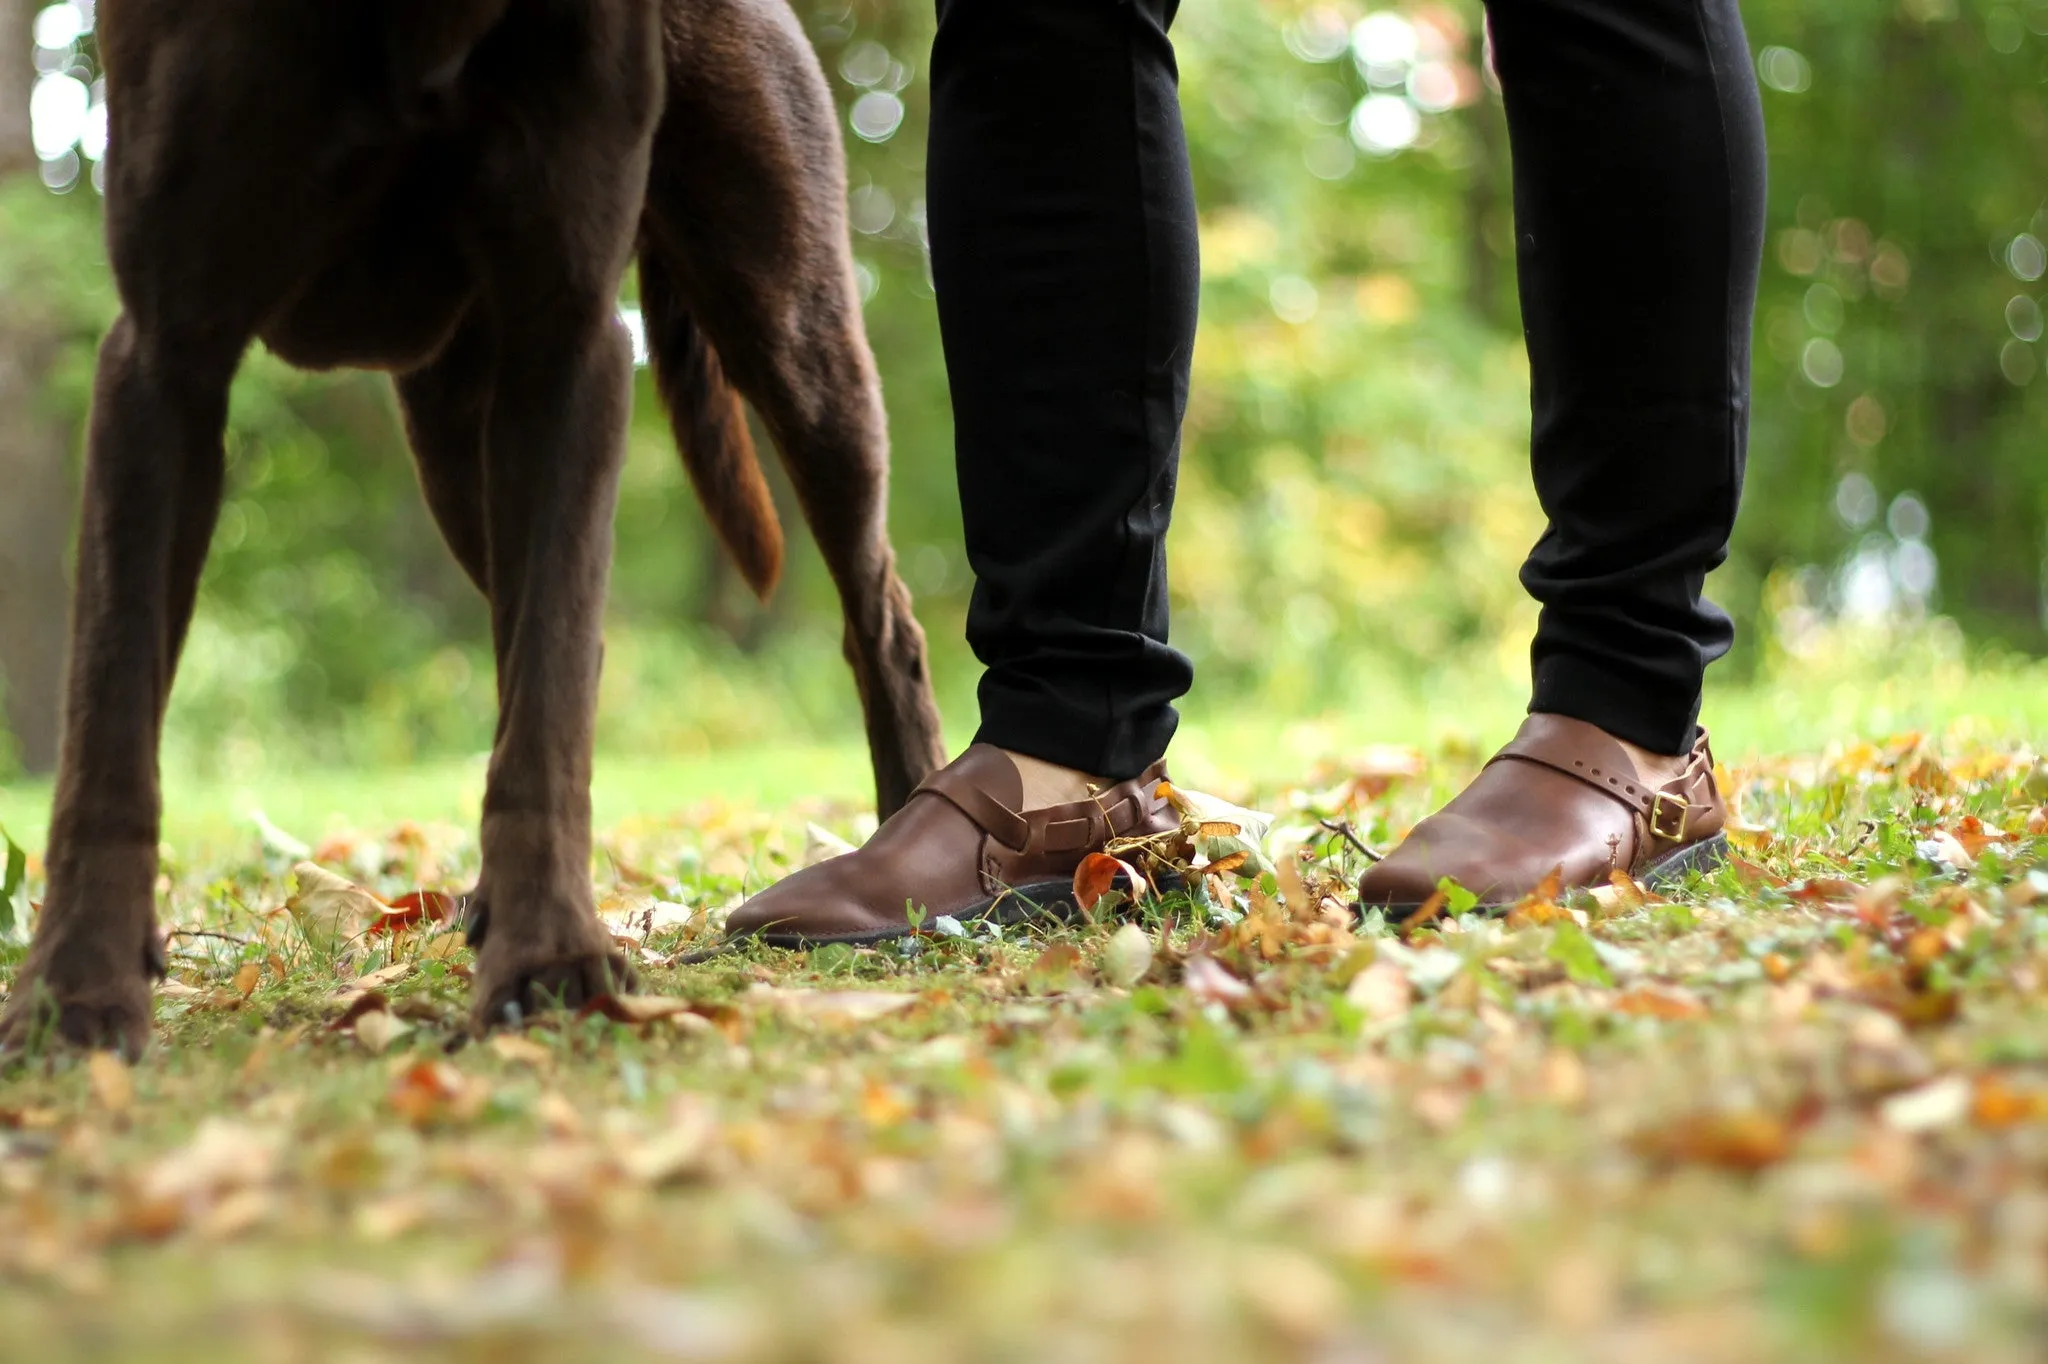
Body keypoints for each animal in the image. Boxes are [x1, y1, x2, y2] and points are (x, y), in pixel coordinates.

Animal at [0, 0, 942, 1048]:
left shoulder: (564, 340)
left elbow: (550, 702)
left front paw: (549, 959)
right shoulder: (167, 354)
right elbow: (109, 719)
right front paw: (73, 994)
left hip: (790, 330)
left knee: (881, 620)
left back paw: (907, 834)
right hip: (457, 443)